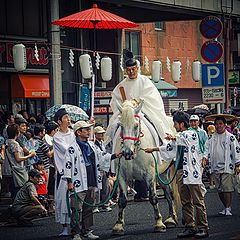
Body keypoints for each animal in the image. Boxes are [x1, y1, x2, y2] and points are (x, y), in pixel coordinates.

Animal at [111, 99, 177, 234]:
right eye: (121, 125)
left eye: (136, 126)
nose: (127, 153)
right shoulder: (121, 175)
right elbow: (122, 200)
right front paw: (119, 225)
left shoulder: (149, 175)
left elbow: (153, 198)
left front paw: (158, 223)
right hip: (163, 173)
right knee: (168, 192)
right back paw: (171, 218)